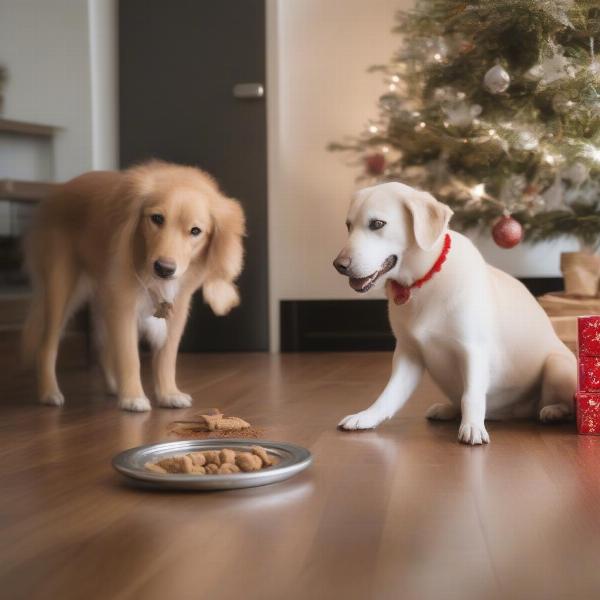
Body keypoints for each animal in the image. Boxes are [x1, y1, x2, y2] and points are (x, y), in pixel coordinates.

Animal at [22, 159, 245, 410]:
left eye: (195, 231)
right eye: (157, 218)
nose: (164, 269)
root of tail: (55, 193)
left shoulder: (176, 308)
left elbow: (166, 357)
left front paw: (168, 393)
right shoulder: (123, 305)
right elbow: (129, 357)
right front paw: (132, 397)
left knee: (104, 350)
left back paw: (113, 385)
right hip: (60, 289)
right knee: (47, 347)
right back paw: (49, 392)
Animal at [332, 183, 576, 446]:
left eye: (377, 224)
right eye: (348, 226)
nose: (339, 265)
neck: (424, 282)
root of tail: (516, 413)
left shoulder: (473, 348)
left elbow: (472, 395)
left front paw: (472, 427)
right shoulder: (408, 353)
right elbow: (390, 394)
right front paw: (367, 416)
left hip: (557, 364)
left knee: (564, 404)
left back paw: (553, 410)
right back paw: (448, 409)